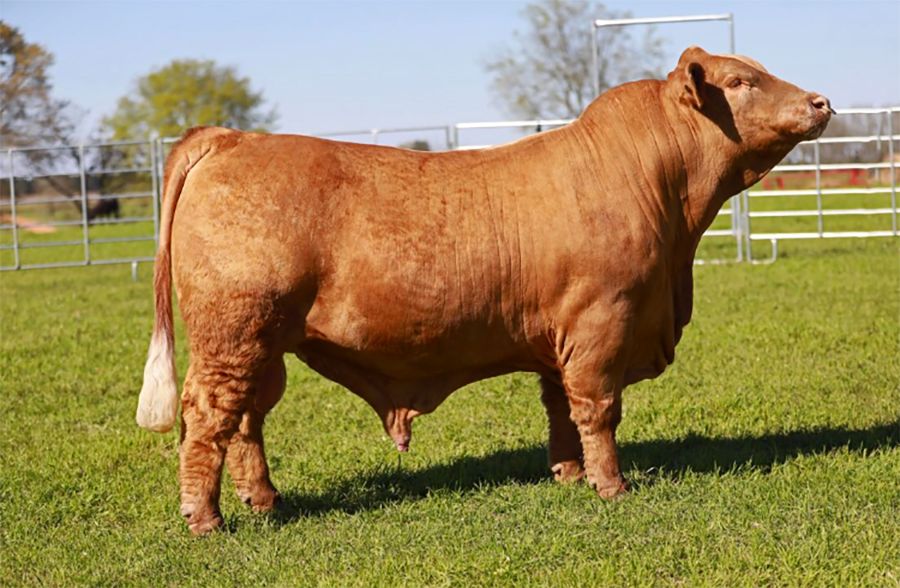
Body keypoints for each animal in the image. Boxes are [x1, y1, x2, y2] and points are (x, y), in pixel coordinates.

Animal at [136, 46, 833, 534]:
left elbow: (560, 408)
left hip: (262, 346)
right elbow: (599, 408)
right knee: (208, 416)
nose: (821, 102)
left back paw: (265, 502)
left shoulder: (560, 337)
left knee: (246, 420)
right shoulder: (603, 322)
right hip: (233, 334)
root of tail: (231, 138)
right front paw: (612, 486)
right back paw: (205, 518)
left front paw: (569, 475)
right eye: (739, 82)